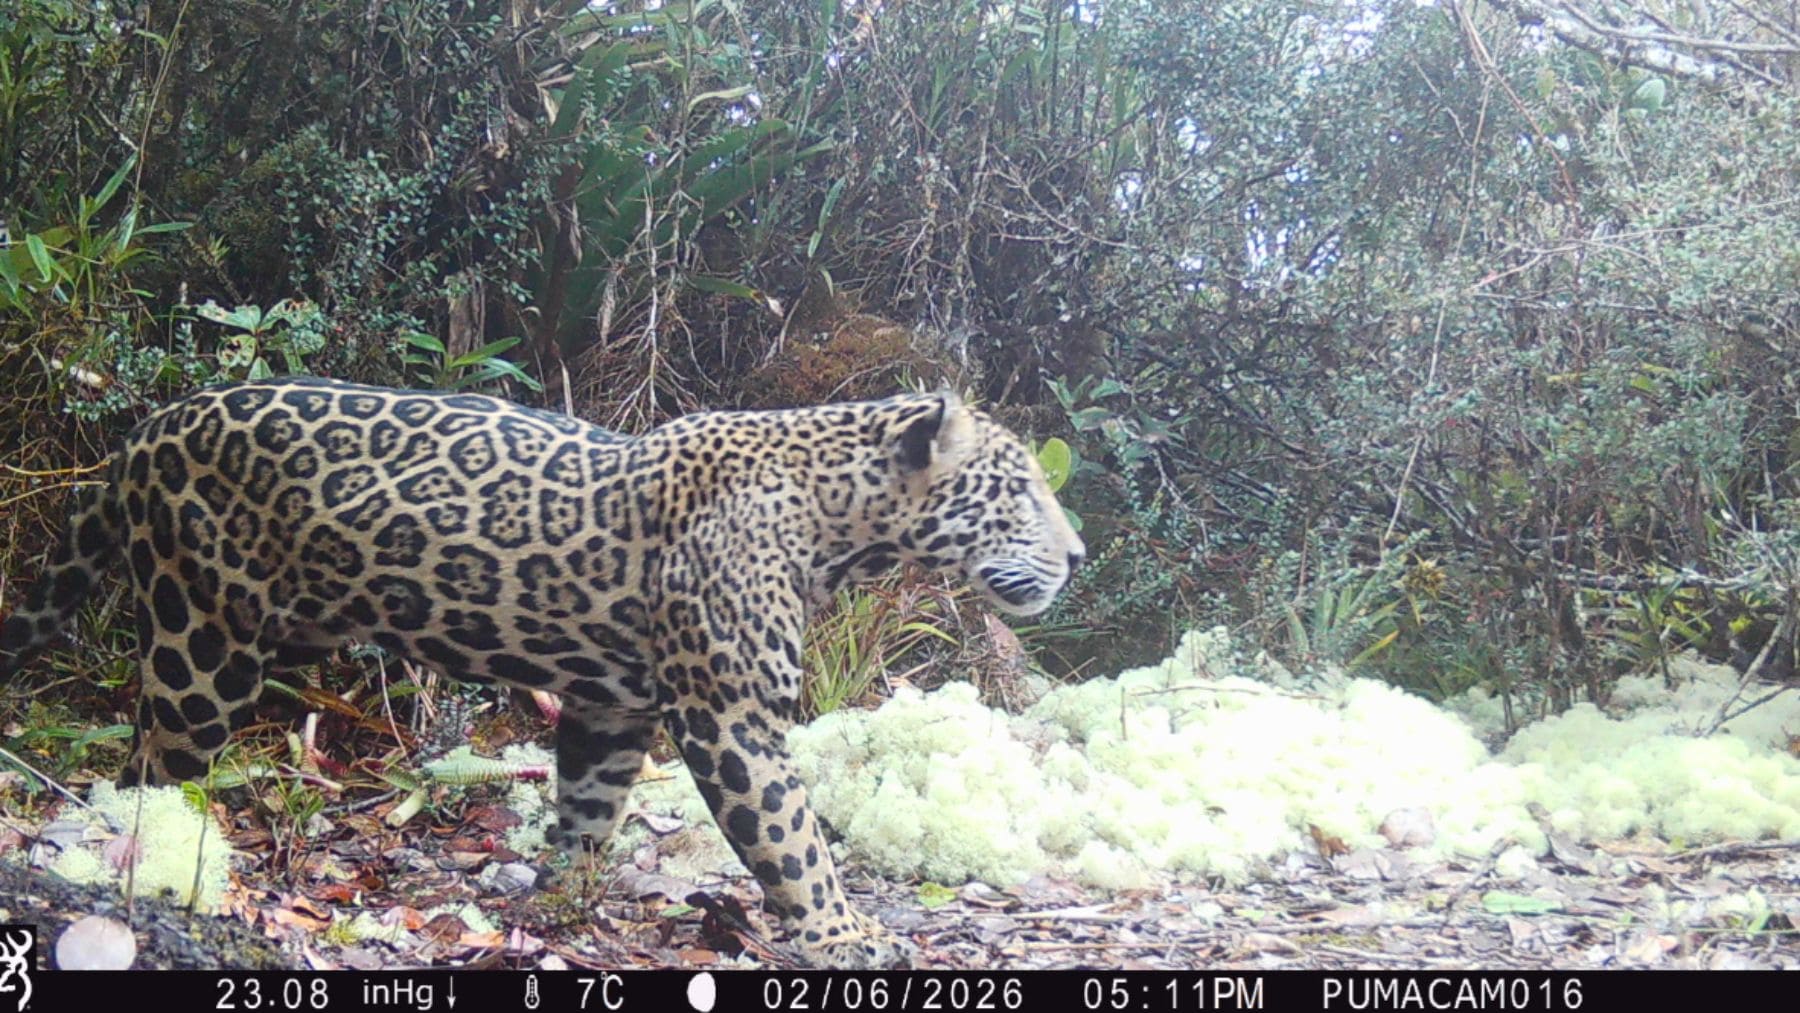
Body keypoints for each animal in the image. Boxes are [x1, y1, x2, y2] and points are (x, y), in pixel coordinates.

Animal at [0, 376, 1084, 968]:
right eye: (1021, 490)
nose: (1077, 556)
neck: (838, 525)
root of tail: (143, 431)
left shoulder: (612, 704)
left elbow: (590, 806)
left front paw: (563, 899)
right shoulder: (729, 711)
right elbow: (792, 836)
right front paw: (844, 930)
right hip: (205, 637)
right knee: (153, 764)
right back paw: (160, 861)